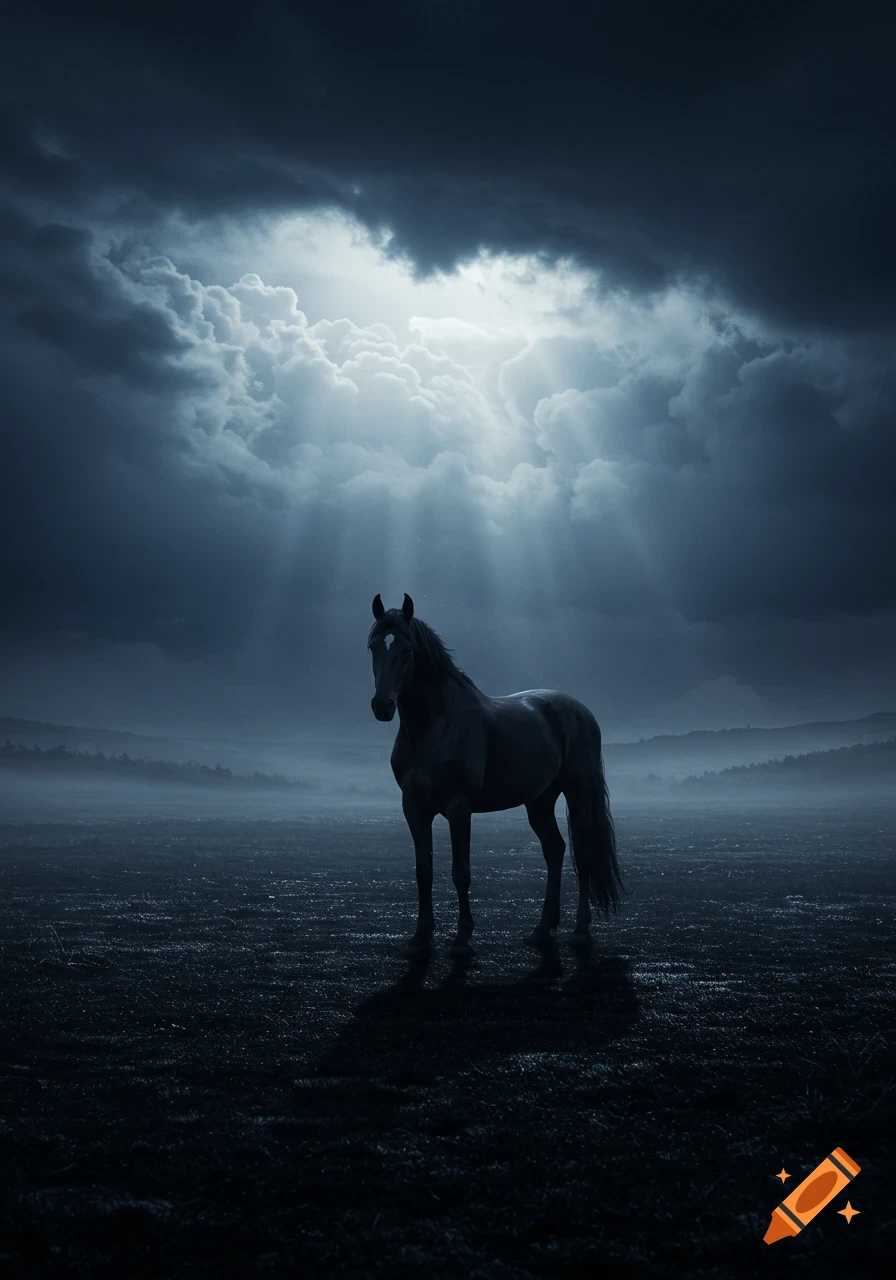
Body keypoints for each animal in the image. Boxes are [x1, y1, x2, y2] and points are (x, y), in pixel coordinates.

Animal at [368, 593, 624, 956]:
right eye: (374, 647)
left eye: (407, 649)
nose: (383, 706)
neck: (434, 726)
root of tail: (582, 711)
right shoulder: (414, 807)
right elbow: (423, 871)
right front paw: (420, 937)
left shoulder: (459, 808)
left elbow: (460, 872)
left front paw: (462, 938)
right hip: (539, 801)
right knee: (555, 849)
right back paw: (542, 930)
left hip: (579, 795)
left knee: (583, 854)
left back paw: (580, 933)